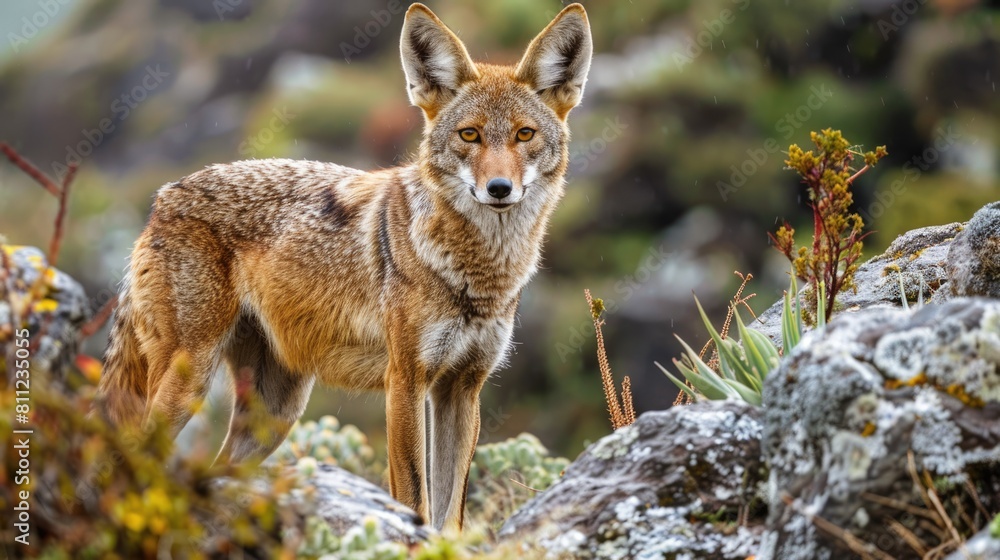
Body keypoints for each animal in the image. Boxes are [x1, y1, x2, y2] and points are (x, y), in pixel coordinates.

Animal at [94, 2, 592, 531]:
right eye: (470, 135)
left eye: (524, 134)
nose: (499, 189)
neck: (476, 275)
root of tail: (163, 198)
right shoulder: (405, 382)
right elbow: (414, 498)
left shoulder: (462, 389)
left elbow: (450, 513)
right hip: (190, 380)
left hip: (275, 414)